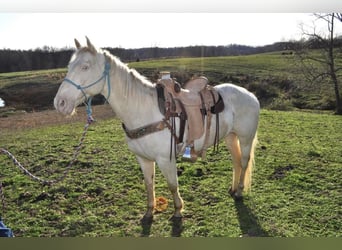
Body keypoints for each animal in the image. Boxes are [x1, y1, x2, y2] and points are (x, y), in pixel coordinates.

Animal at [54, 37, 260, 219]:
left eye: (85, 67)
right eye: (69, 67)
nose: (60, 103)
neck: (143, 110)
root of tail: (250, 95)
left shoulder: (166, 159)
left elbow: (172, 185)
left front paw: (178, 210)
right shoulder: (143, 159)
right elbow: (149, 185)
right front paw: (149, 212)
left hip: (246, 138)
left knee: (243, 161)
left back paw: (239, 192)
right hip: (230, 136)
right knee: (236, 161)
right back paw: (233, 189)